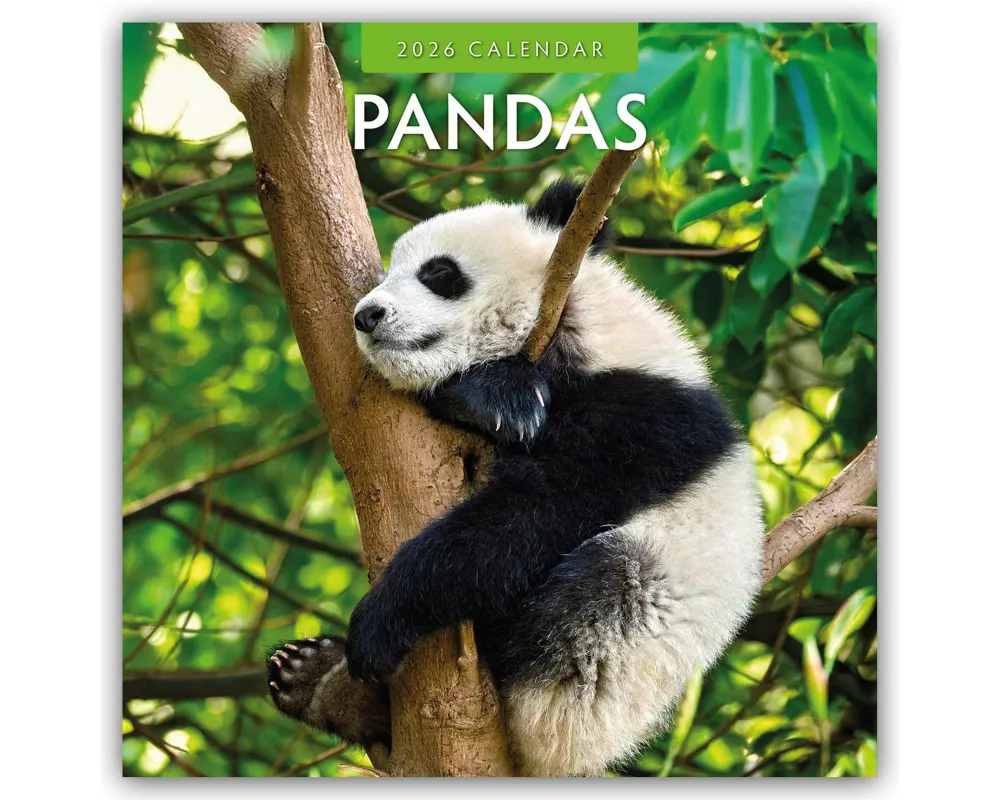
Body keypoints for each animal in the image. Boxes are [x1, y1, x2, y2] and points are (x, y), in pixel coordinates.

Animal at [266, 180, 765, 777]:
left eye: (439, 273)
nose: (367, 315)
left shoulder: (643, 417)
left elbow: (539, 509)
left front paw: (381, 619)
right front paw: (490, 400)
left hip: (627, 647)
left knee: (596, 594)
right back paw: (316, 680)